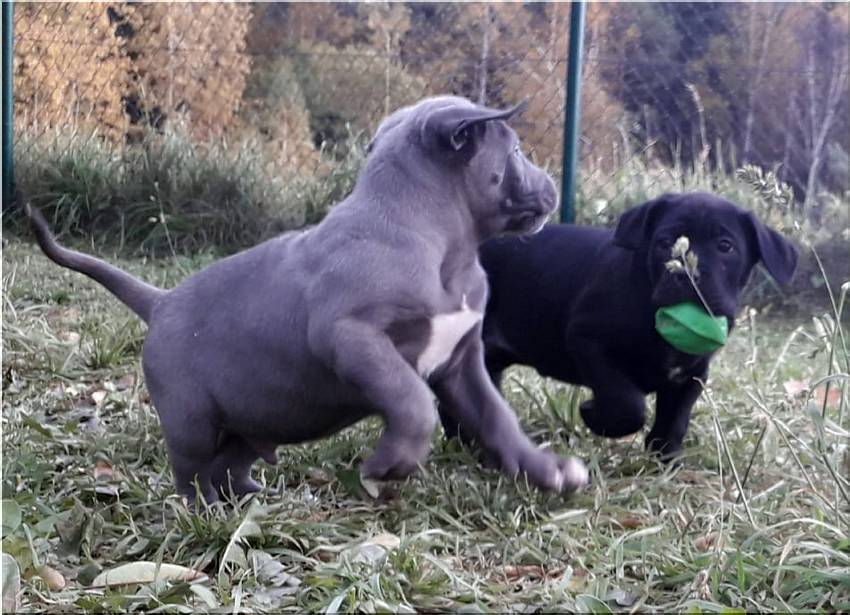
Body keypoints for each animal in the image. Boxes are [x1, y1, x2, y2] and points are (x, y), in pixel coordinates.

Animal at [27, 96, 589, 503]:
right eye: (515, 152)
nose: (551, 187)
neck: (442, 247)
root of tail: (160, 303)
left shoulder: (461, 361)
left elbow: (497, 416)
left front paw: (546, 470)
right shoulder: (350, 336)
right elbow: (411, 400)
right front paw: (391, 464)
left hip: (251, 416)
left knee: (231, 461)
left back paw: (247, 497)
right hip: (191, 420)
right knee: (191, 472)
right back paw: (200, 512)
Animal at [470, 192, 797, 460]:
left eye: (725, 246)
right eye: (664, 243)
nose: (686, 274)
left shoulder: (693, 375)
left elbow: (675, 418)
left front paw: (666, 457)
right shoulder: (588, 340)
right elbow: (628, 404)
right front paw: (593, 414)